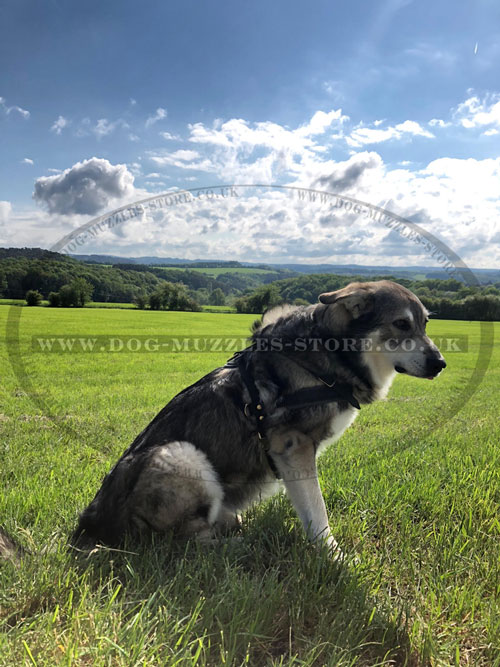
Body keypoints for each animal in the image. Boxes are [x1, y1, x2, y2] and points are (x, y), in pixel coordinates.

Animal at [67, 280, 446, 556]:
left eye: (425, 324)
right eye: (401, 324)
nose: (441, 364)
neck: (328, 354)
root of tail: (90, 525)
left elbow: (306, 504)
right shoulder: (294, 447)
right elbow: (318, 512)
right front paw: (334, 557)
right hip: (182, 454)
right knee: (184, 542)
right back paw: (242, 544)